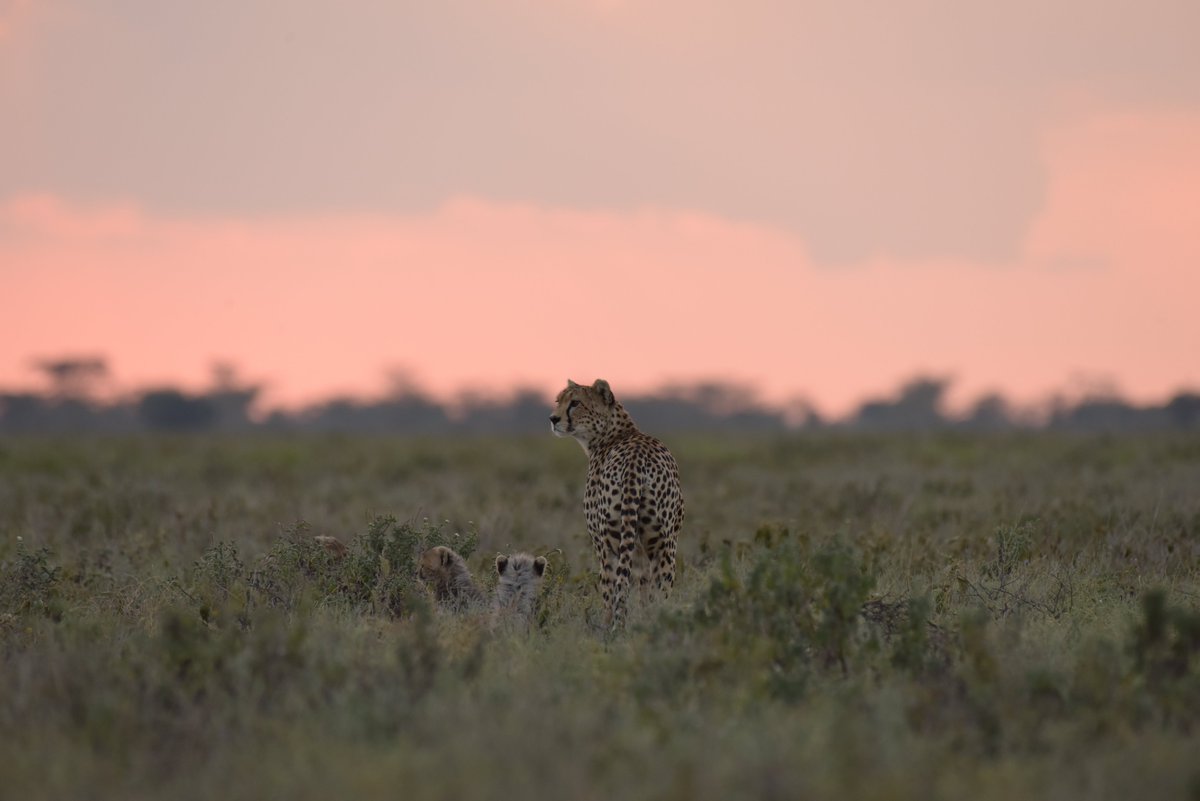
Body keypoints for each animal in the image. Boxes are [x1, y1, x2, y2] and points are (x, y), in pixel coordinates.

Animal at [552, 378, 686, 628]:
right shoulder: (644, 552)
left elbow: (612, 591)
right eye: (559, 401)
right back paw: (657, 622)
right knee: (661, 592)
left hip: (611, 543)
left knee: (613, 589)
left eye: (575, 403)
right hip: (664, 543)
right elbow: (644, 592)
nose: (553, 419)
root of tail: (636, 460)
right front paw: (643, 619)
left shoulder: (600, 543)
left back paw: (610, 627)